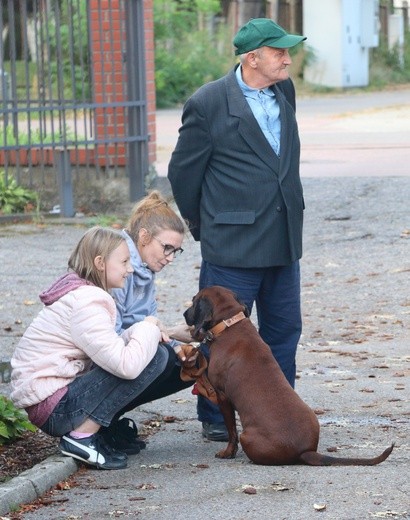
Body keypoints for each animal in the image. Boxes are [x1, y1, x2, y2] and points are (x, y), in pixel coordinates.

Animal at [183, 286, 394, 466]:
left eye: (193, 301)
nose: (184, 314)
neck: (229, 325)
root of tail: (305, 451)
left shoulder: (222, 397)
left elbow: (232, 432)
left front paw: (227, 453)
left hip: (247, 436)